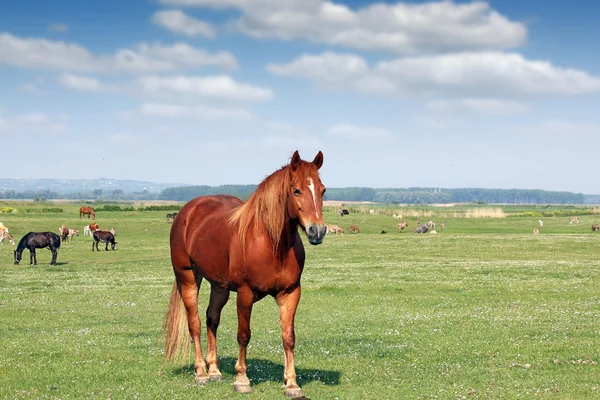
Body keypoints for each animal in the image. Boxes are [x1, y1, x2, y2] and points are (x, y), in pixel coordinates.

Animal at [163, 150, 328, 396]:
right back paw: (201, 372)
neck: (273, 244)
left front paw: (291, 383)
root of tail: (186, 212)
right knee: (195, 323)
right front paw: (242, 379)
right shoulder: (245, 293)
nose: (317, 231)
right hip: (188, 277)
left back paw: (214, 370)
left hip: (219, 286)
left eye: (322, 190)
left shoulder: (290, 293)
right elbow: (243, 335)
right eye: (296, 190)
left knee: (211, 319)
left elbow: (288, 337)